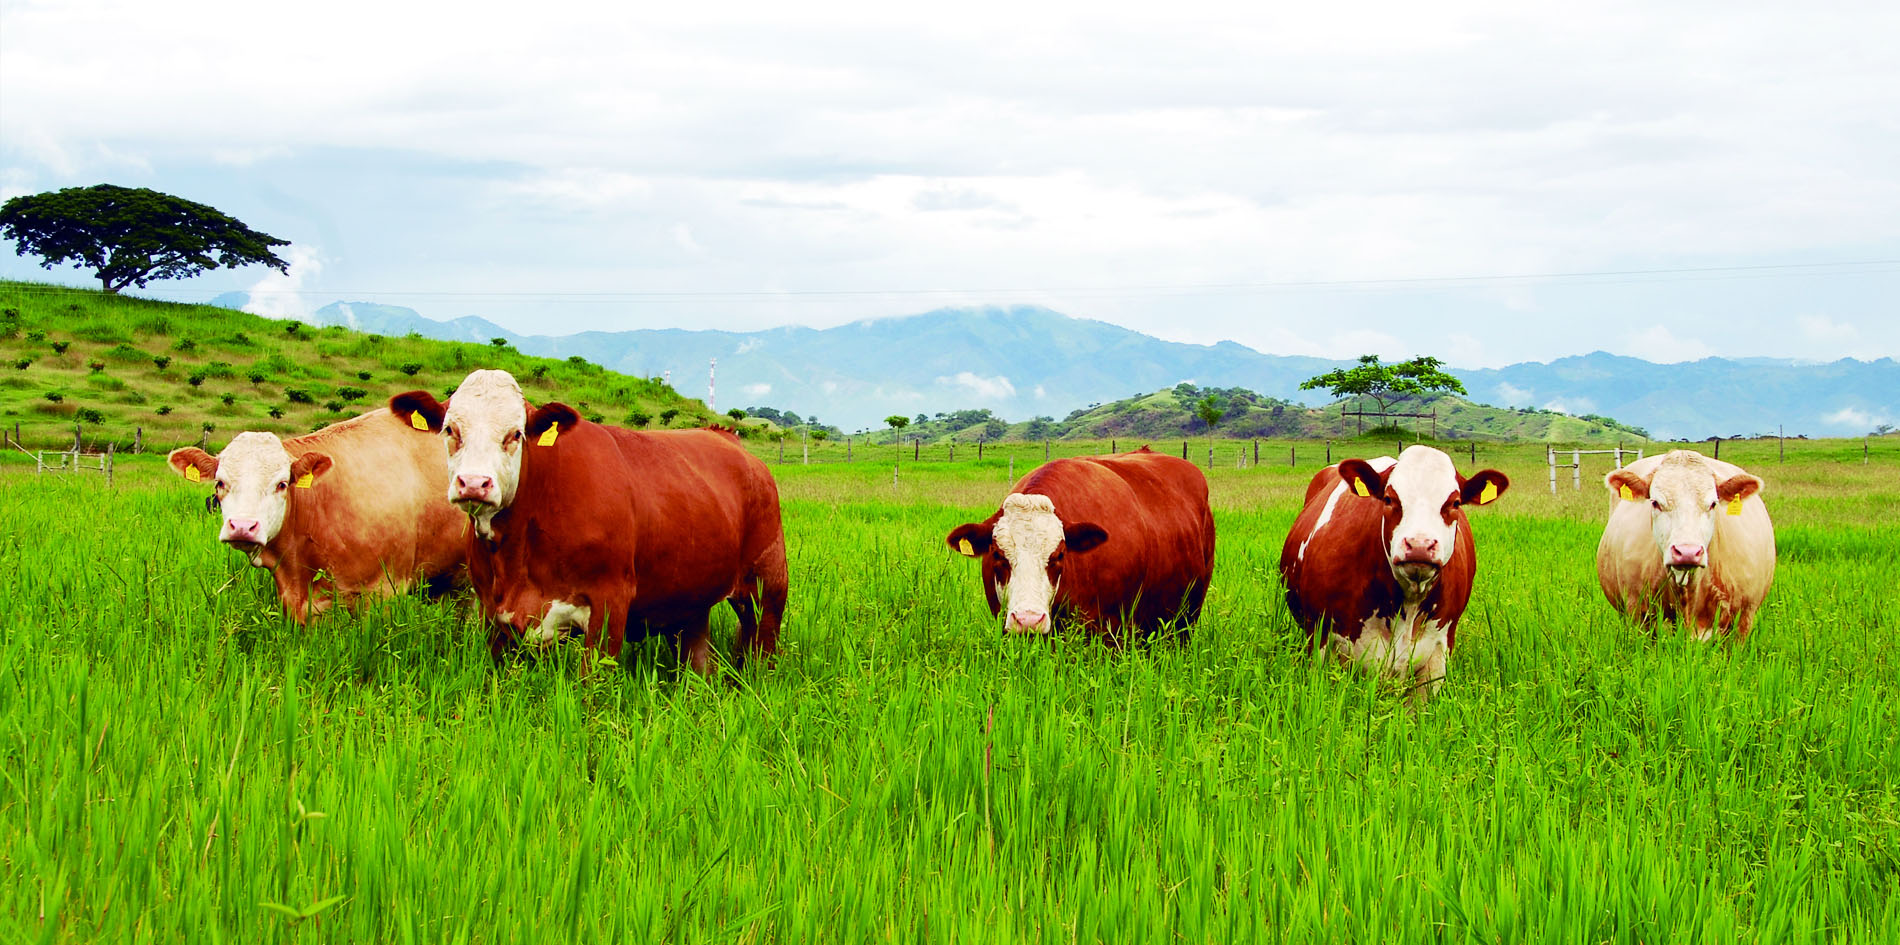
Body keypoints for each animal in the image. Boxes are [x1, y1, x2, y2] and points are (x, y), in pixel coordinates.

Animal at [393, 368, 786, 669]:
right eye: (450, 430)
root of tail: (729, 440)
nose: (474, 483)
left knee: (762, 648)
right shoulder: (491, 611)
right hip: (691, 598)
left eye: (515, 434)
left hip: (767, 585)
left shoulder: (609, 604)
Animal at [1276, 443, 1512, 699]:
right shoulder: (1320, 638)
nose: (1420, 544)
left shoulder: (1439, 651)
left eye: (1455, 503)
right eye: (1389, 499)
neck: (1405, 605)